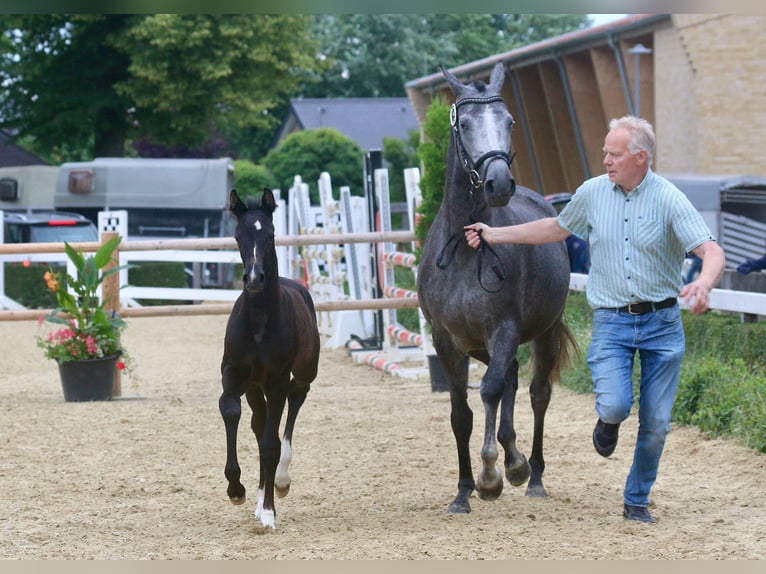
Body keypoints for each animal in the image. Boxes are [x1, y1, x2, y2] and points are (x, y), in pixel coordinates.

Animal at [219, 188, 320, 532]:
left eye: (271, 235)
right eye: (238, 236)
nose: (254, 278)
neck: (260, 323)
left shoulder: (277, 379)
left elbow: (271, 444)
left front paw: (269, 513)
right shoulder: (234, 375)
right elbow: (231, 411)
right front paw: (236, 490)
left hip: (303, 374)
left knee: (293, 406)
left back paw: (281, 483)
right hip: (255, 387)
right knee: (259, 423)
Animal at [420, 64, 576, 516]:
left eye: (509, 122)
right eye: (465, 124)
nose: (499, 183)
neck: (465, 248)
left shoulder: (504, 329)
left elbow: (489, 391)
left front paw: (490, 477)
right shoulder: (447, 340)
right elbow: (461, 413)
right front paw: (463, 491)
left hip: (541, 334)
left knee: (536, 393)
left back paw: (531, 473)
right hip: (481, 344)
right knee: (508, 376)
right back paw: (514, 459)